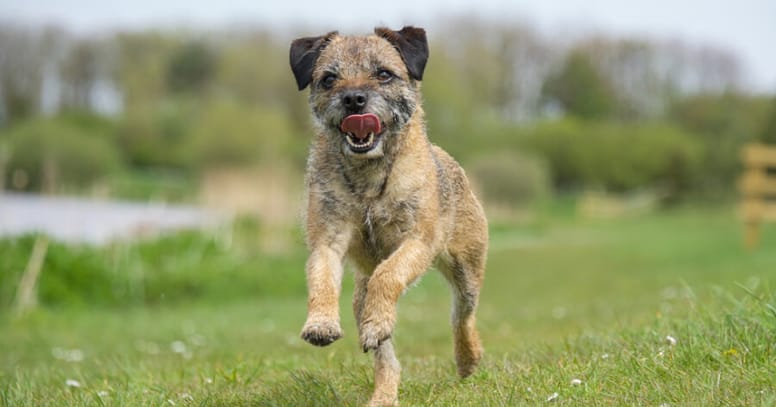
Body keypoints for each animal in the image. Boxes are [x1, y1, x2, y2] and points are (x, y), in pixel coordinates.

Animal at [288, 27, 488, 406]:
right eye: (329, 79)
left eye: (383, 74)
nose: (353, 100)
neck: (369, 174)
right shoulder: (327, 240)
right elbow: (321, 278)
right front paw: (321, 323)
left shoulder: (417, 242)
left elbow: (389, 274)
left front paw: (378, 319)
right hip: (359, 297)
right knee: (386, 357)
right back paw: (384, 391)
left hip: (467, 269)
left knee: (462, 315)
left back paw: (467, 359)